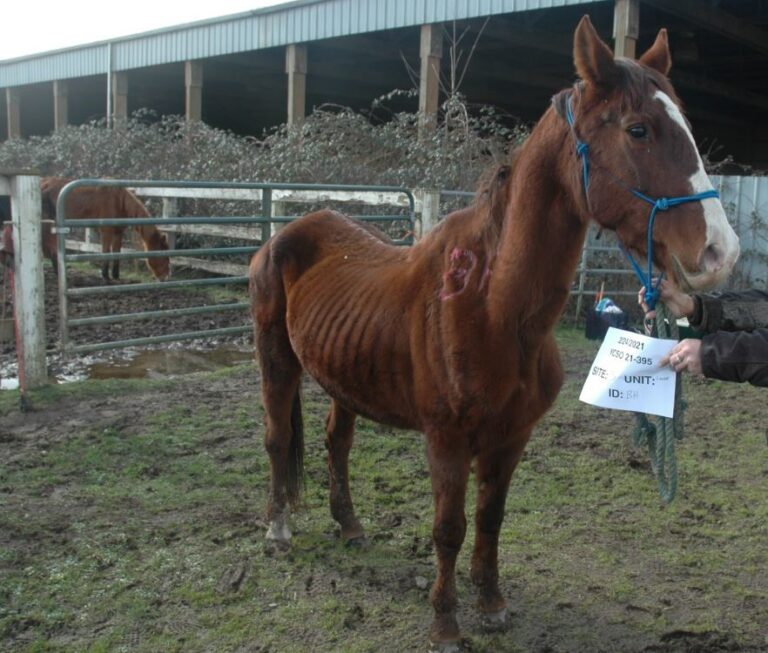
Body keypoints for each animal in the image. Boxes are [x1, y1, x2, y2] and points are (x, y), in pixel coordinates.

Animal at [40, 177, 170, 282]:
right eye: (163, 255)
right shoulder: (106, 231)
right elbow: (106, 252)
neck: (119, 201)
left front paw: (116, 275)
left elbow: (117, 253)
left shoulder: (118, 232)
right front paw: (105, 276)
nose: (165, 277)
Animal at [249, 17, 740, 648]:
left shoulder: (512, 438)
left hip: (345, 379)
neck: (494, 310)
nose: (721, 251)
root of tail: (289, 232)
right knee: (278, 439)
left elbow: (489, 519)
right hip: (276, 361)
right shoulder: (447, 442)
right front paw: (445, 622)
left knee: (338, 443)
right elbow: (449, 527)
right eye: (639, 129)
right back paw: (279, 532)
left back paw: (351, 527)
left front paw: (491, 605)